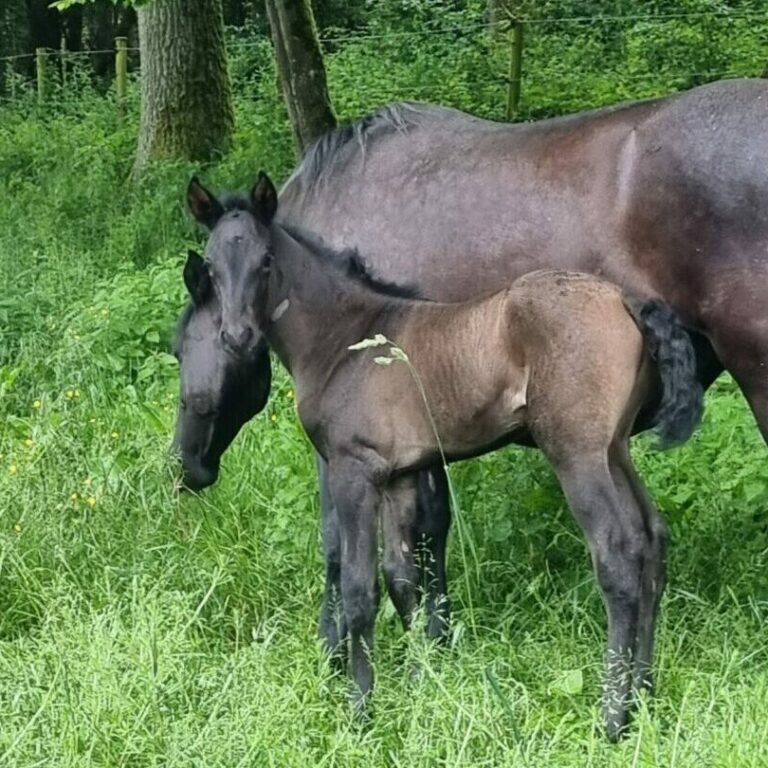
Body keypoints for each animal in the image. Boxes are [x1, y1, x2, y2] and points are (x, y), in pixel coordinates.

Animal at [177, 172, 703, 740]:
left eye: (266, 260)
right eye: (213, 264)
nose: (237, 336)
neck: (344, 338)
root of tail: (625, 300)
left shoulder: (354, 471)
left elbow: (360, 589)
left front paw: (361, 709)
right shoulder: (401, 475)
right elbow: (404, 579)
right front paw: (422, 683)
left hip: (576, 453)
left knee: (618, 551)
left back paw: (612, 717)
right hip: (615, 449)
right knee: (652, 537)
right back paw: (644, 694)